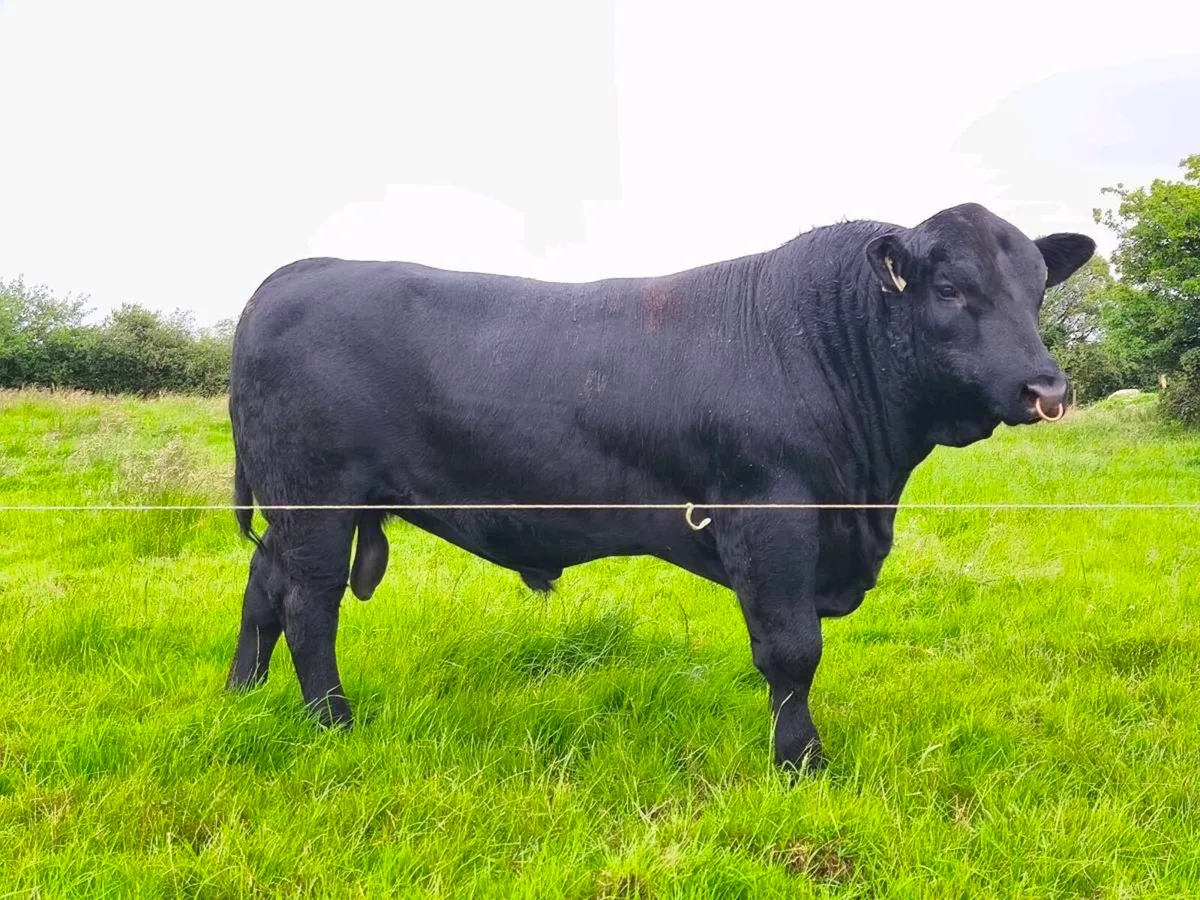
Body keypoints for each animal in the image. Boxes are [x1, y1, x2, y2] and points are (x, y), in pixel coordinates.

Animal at [225, 202, 1095, 772]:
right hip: (316, 501)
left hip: (297, 510)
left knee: (262, 587)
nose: (1045, 387)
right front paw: (802, 763)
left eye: (1037, 289)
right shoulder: (770, 516)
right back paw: (332, 723)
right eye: (949, 289)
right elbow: (791, 650)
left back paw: (243, 694)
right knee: (307, 606)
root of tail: (298, 272)